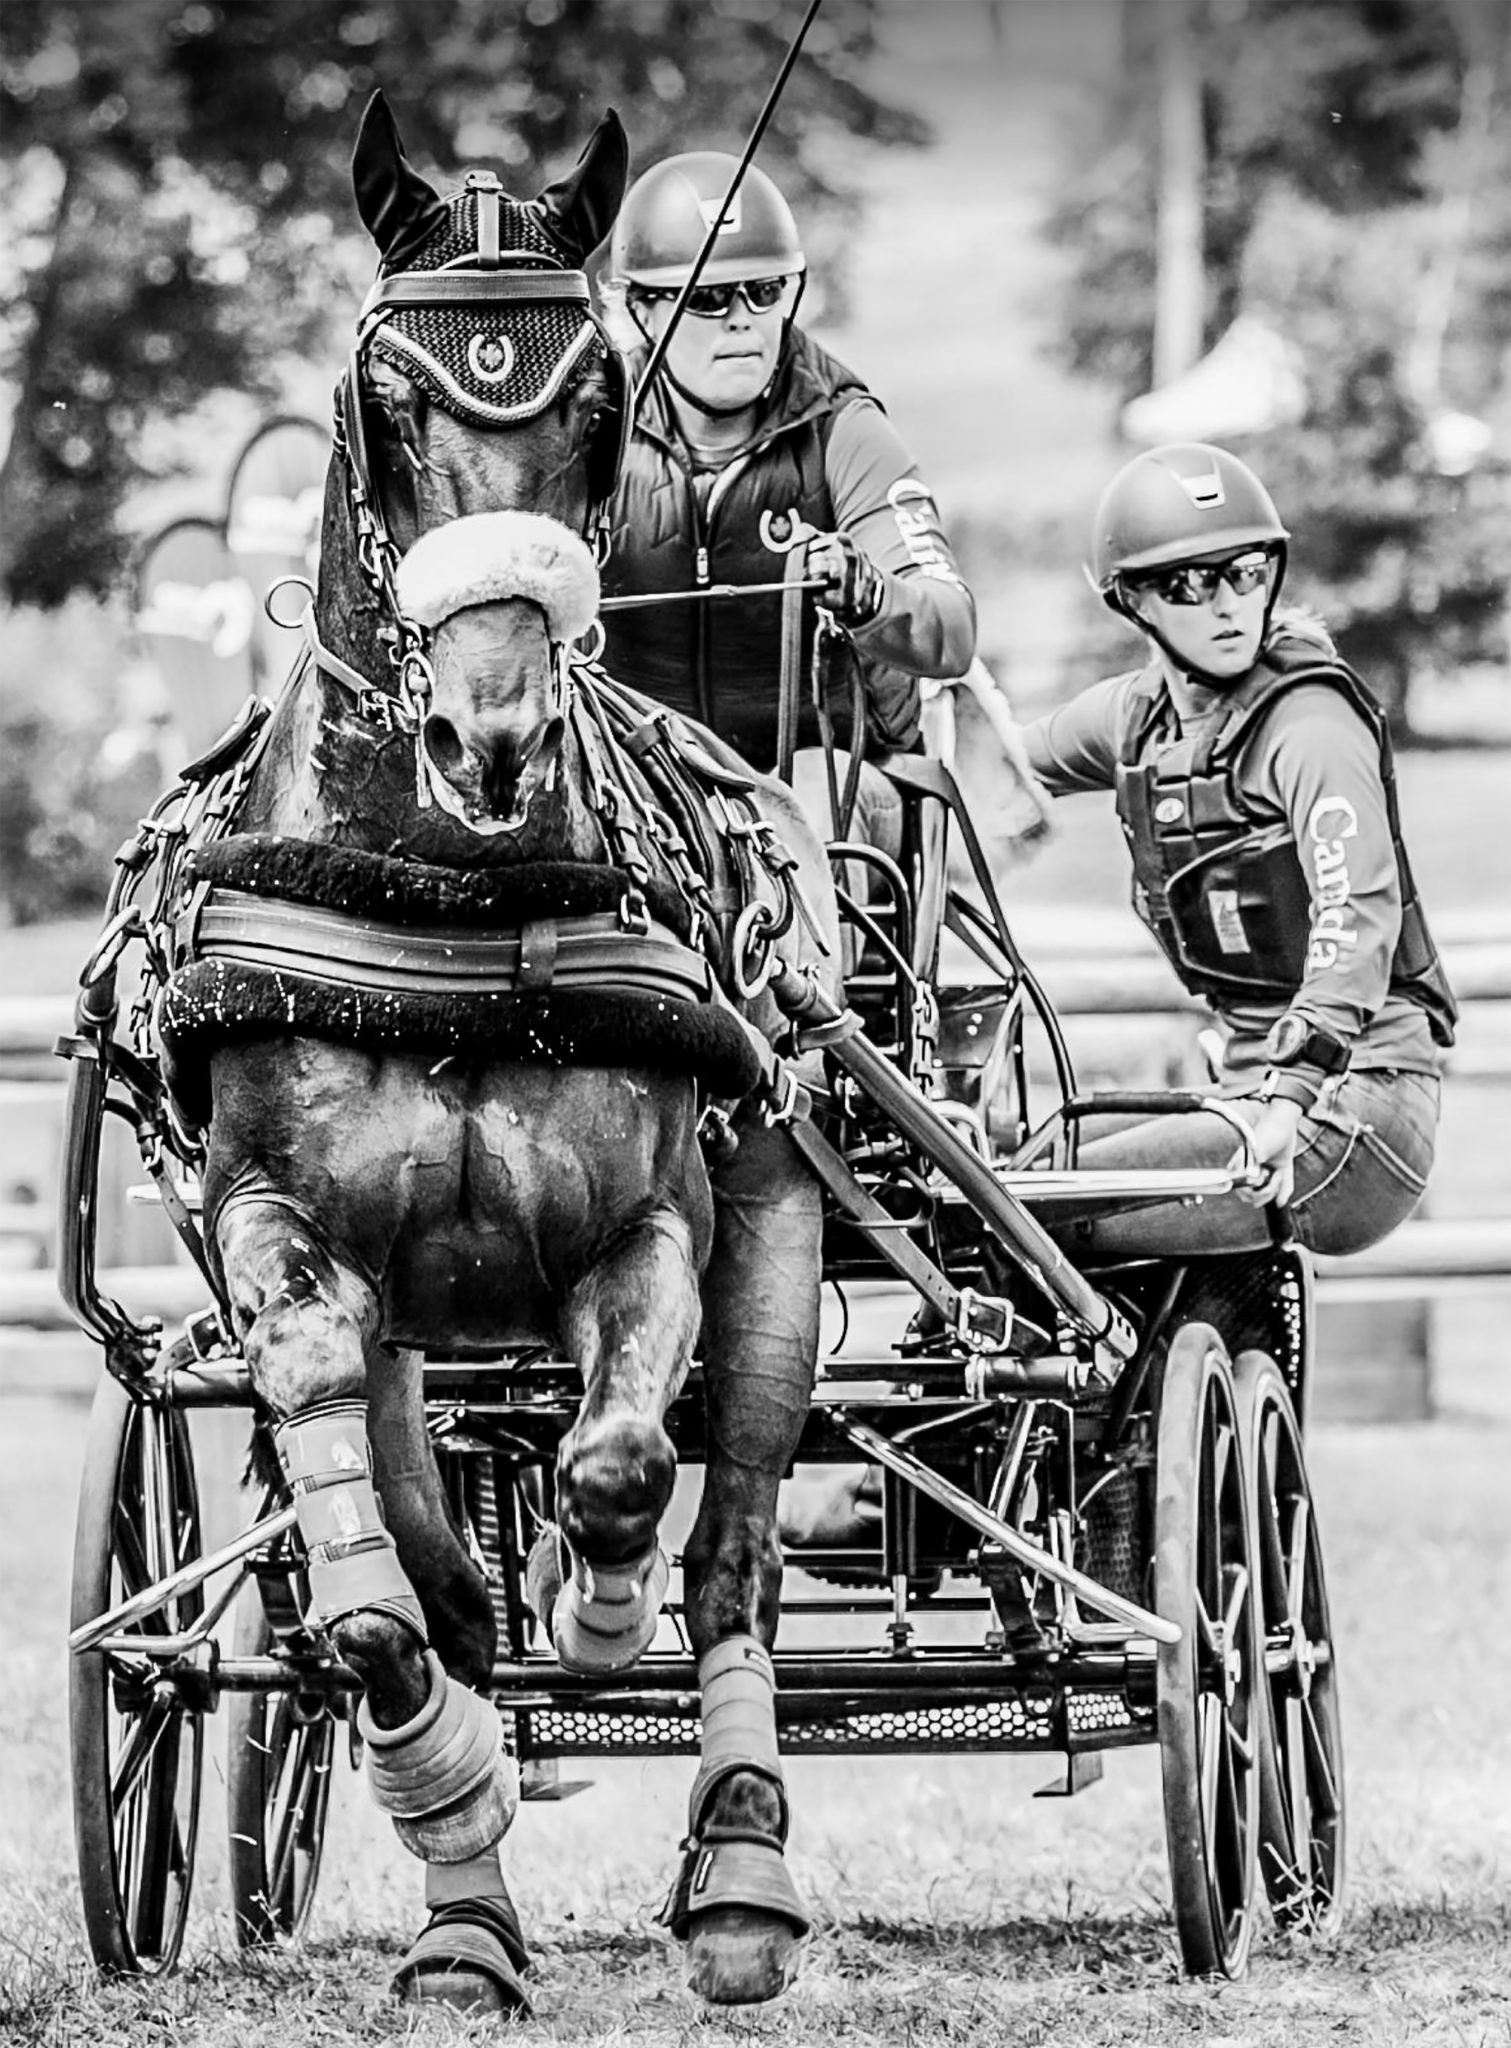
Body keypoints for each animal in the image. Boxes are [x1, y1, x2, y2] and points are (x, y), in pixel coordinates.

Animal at [165, 88, 847, 2007]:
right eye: (389, 405)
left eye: (604, 404)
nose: (490, 736)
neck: (445, 895)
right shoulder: (283, 1233)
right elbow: (388, 1599)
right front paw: (452, 1817)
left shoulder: (653, 1226)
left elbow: (619, 1474)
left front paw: (591, 1606)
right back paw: (468, 1892)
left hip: (777, 1225)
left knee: (735, 1543)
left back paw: (738, 1863)